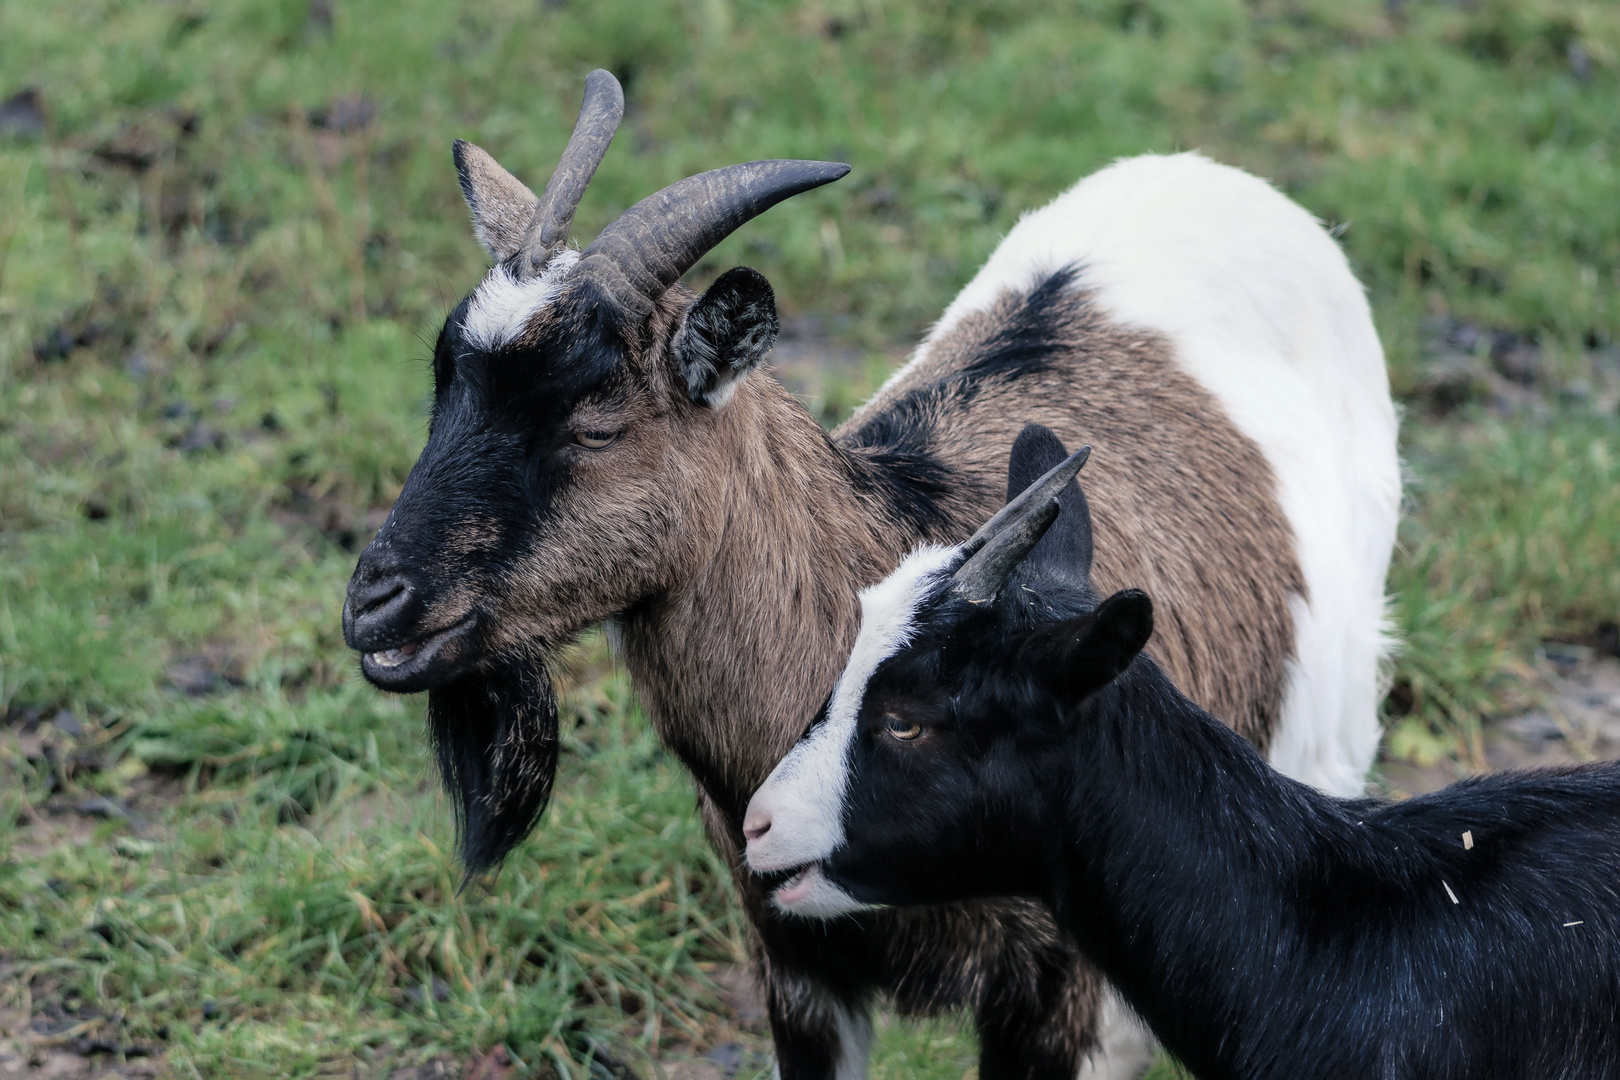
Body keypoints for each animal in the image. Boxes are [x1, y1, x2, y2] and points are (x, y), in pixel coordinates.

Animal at [345, 69, 1406, 1080]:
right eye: (444, 383)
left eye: (596, 426)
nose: (374, 606)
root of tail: (1209, 175)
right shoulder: (796, 965)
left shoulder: (1060, 992)